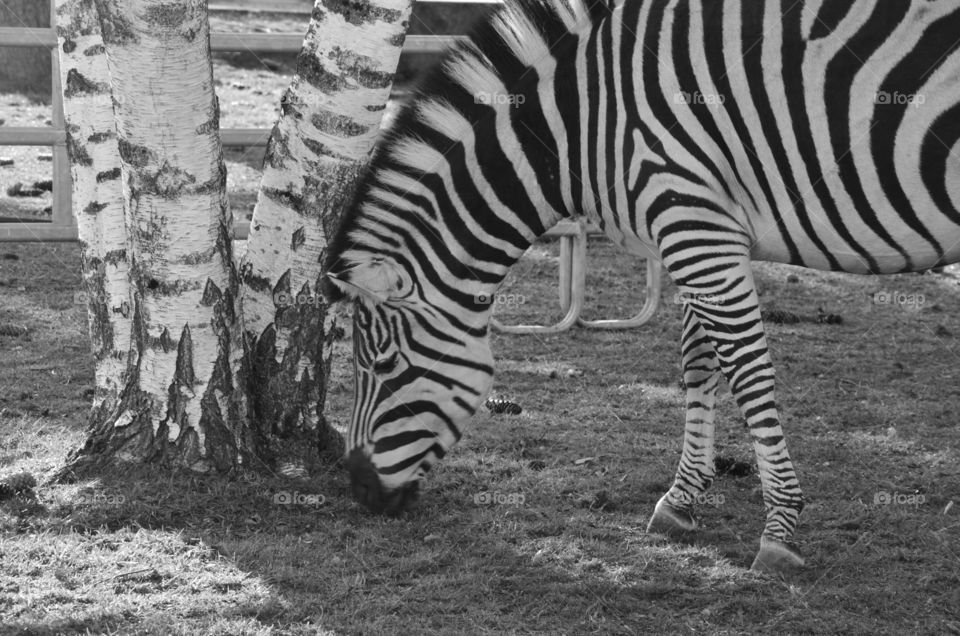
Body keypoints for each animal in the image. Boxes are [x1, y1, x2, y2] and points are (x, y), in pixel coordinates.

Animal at [322, 0, 960, 574]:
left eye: (380, 365)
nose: (358, 489)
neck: (582, 119)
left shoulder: (692, 221)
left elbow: (747, 374)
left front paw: (779, 530)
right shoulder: (701, 228)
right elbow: (699, 362)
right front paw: (681, 503)